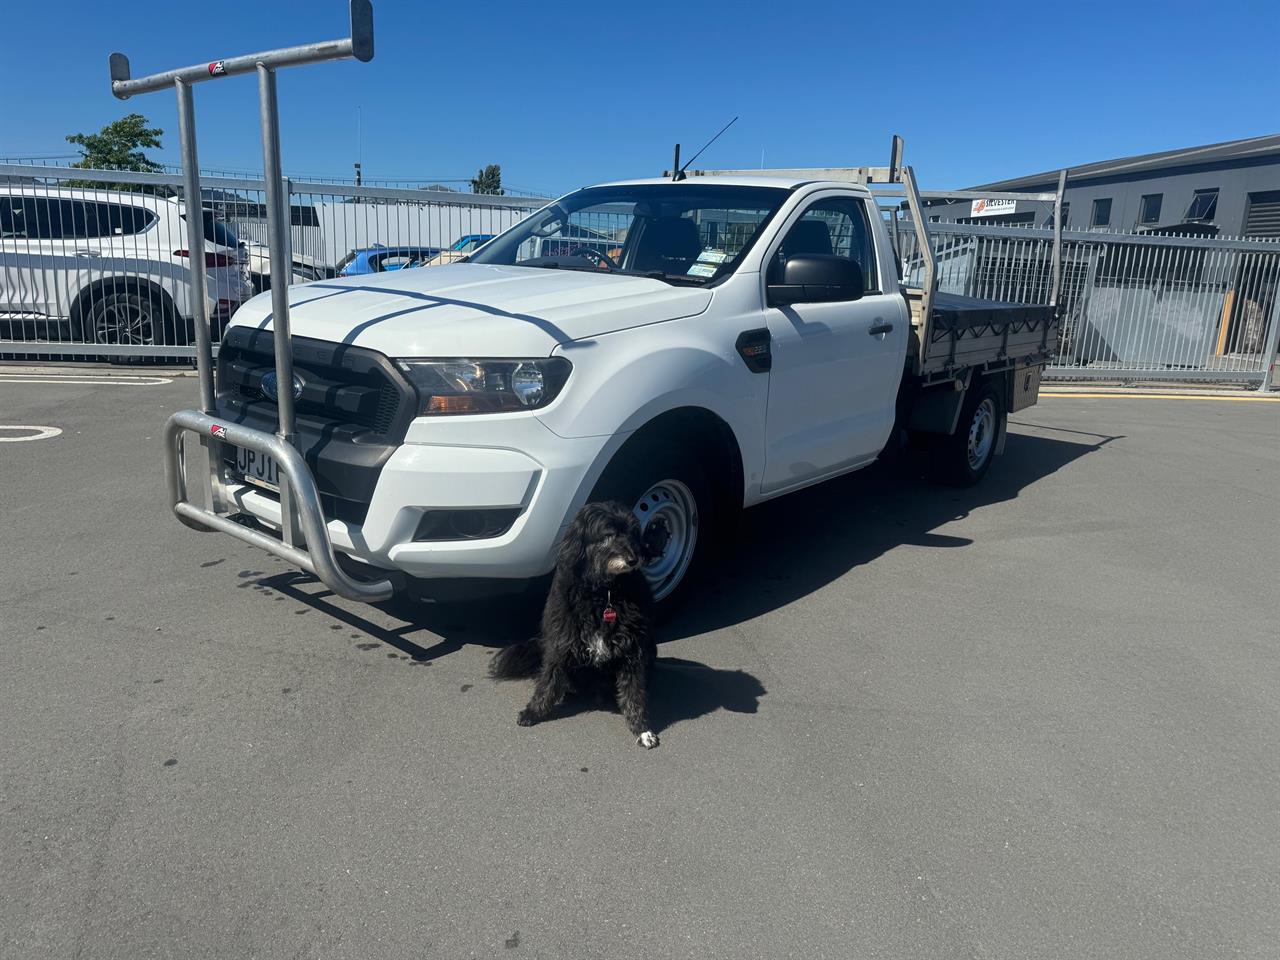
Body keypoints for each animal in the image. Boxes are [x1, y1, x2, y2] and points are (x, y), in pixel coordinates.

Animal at [488, 504, 660, 752]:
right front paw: (533, 711)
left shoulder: (633, 650)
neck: (603, 594)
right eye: (608, 534)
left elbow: (634, 693)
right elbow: (547, 681)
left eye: (633, 533)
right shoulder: (561, 641)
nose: (633, 559)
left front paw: (642, 729)